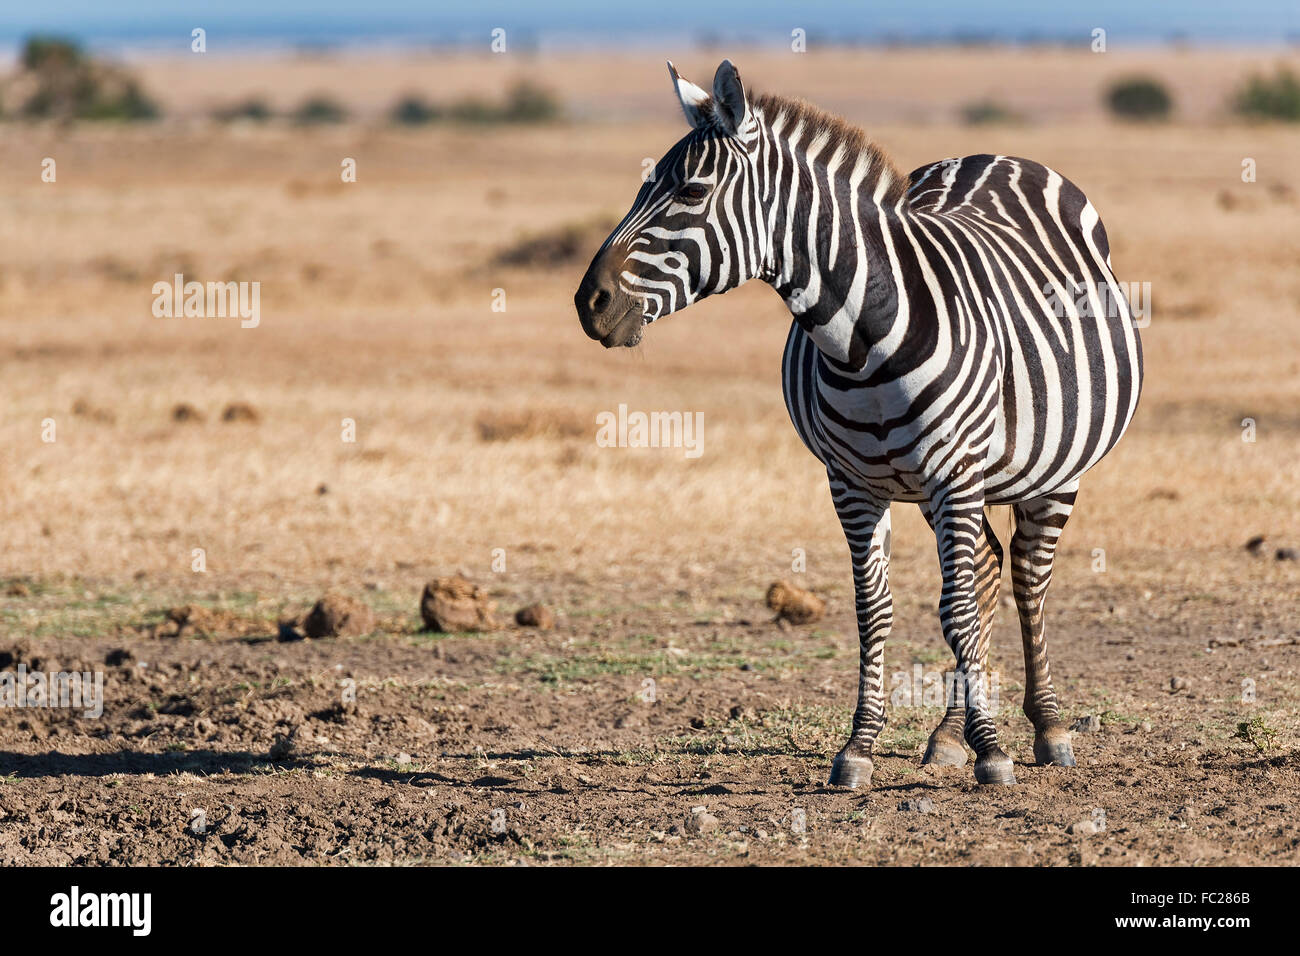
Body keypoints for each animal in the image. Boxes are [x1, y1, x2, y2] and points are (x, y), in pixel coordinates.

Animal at [574, 60, 1143, 787]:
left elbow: (955, 609)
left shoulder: (955, 474)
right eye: (644, 185)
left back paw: (1046, 727)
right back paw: (947, 735)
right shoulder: (852, 483)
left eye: (693, 191)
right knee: (987, 568)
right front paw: (861, 747)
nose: (589, 303)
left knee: (1024, 577)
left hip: (1051, 470)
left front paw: (993, 751)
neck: (864, 340)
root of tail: (996, 155)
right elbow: (875, 610)